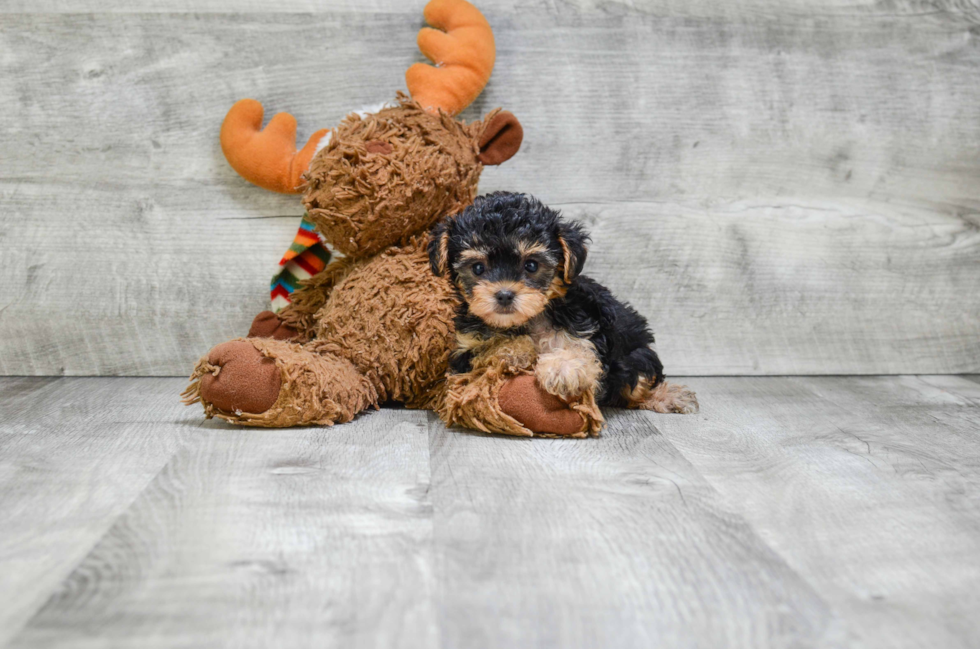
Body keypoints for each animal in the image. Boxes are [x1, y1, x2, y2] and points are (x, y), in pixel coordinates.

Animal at [428, 191, 696, 416]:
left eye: (531, 265)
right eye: (477, 268)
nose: (504, 295)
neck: (530, 319)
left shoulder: (586, 326)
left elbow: (578, 348)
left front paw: (562, 369)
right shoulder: (465, 347)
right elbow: (488, 347)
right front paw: (513, 349)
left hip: (636, 354)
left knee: (637, 385)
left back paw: (668, 396)